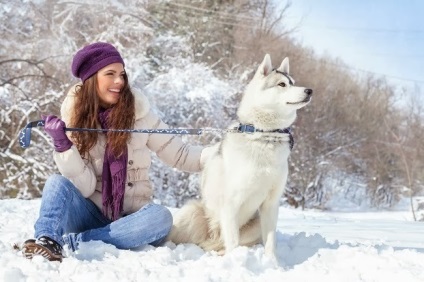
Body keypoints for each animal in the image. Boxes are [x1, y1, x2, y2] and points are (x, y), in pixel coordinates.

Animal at [167, 54, 314, 260]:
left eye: (293, 82)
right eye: (282, 84)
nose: (309, 90)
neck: (264, 135)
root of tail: (211, 239)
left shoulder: (271, 204)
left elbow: (271, 242)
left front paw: (272, 263)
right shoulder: (231, 203)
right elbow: (234, 241)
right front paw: (238, 262)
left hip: (255, 224)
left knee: (222, 246)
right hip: (190, 213)